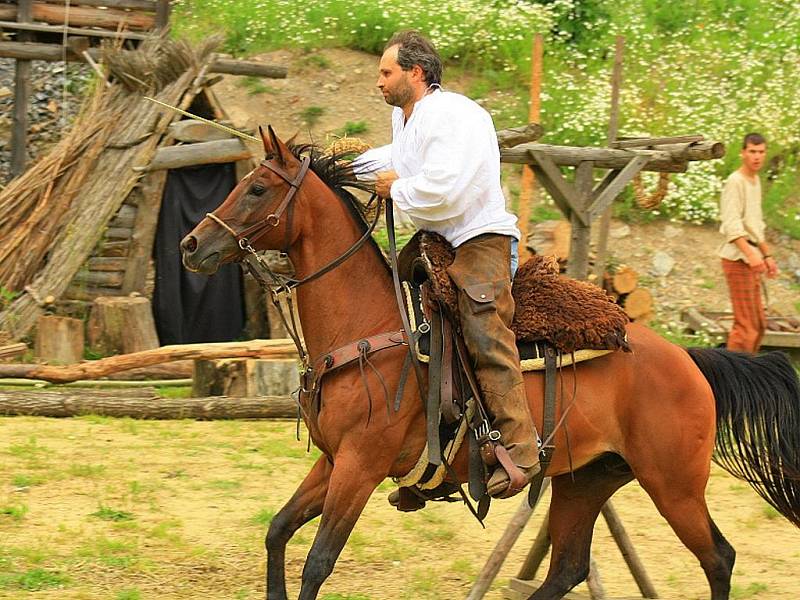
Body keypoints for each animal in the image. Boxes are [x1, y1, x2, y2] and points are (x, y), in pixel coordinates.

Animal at [181, 127, 800, 600]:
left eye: (258, 188)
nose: (191, 245)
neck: (370, 331)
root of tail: (688, 359)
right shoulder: (334, 462)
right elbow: (278, 532)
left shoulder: (359, 466)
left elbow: (317, 563)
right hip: (586, 480)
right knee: (568, 568)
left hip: (674, 484)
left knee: (718, 558)